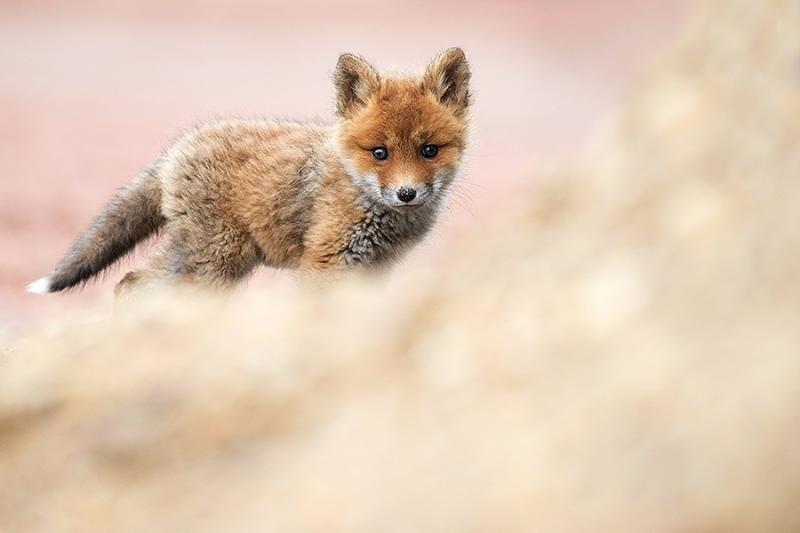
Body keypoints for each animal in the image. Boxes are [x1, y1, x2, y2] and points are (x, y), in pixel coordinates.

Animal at [28, 48, 472, 298]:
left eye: (429, 151)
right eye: (380, 153)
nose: (406, 193)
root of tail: (176, 149)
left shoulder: (377, 270)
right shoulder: (326, 261)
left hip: (201, 257)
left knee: (130, 282)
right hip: (219, 260)